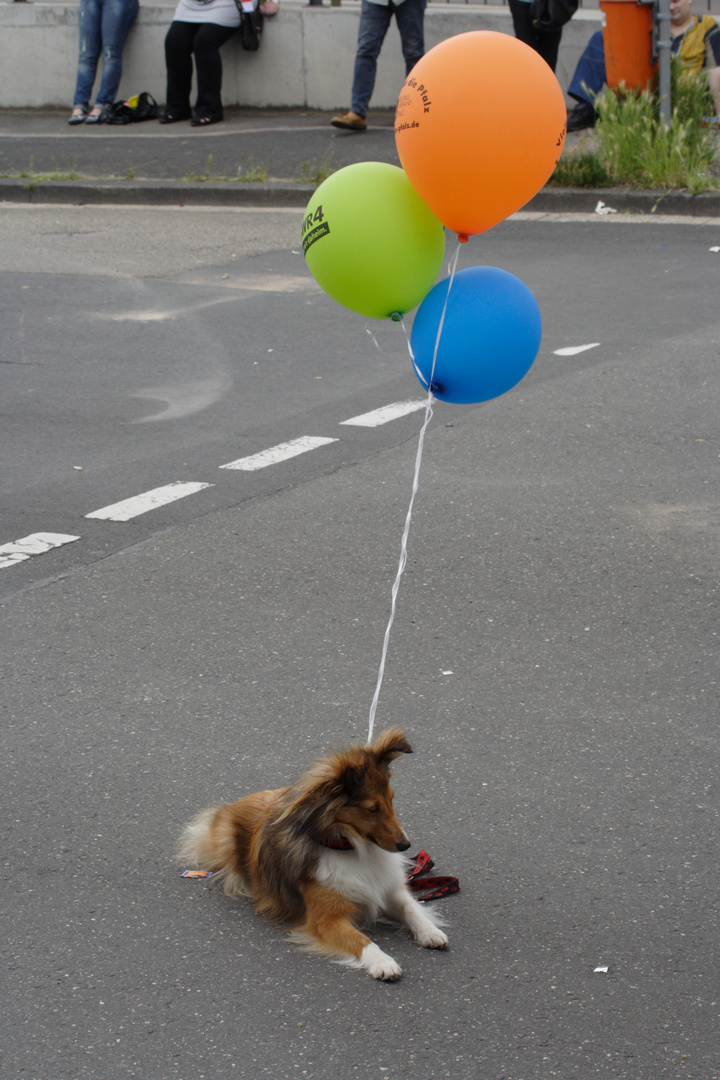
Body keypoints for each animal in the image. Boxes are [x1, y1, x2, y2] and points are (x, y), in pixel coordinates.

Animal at [179, 725, 451, 980]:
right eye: (372, 808)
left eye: (392, 799)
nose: (406, 845)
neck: (352, 848)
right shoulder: (326, 919)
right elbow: (362, 940)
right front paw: (384, 963)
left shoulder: (387, 889)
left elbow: (410, 907)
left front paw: (430, 931)